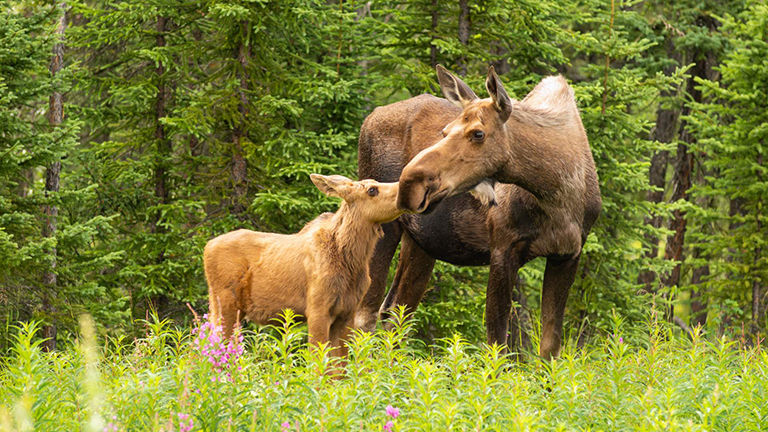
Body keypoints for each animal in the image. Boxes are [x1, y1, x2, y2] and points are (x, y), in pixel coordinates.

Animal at [204, 172, 404, 358]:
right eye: (372, 190)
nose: (401, 190)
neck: (351, 261)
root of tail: (206, 247)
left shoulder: (346, 312)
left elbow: (339, 366)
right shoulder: (317, 309)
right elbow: (318, 361)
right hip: (224, 303)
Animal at [354, 66, 600, 360]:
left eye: (478, 133)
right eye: (445, 131)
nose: (409, 182)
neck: (556, 195)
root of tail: (370, 116)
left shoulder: (567, 254)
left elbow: (549, 347)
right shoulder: (503, 247)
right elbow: (498, 345)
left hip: (421, 242)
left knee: (394, 312)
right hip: (383, 226)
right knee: (364, 313)